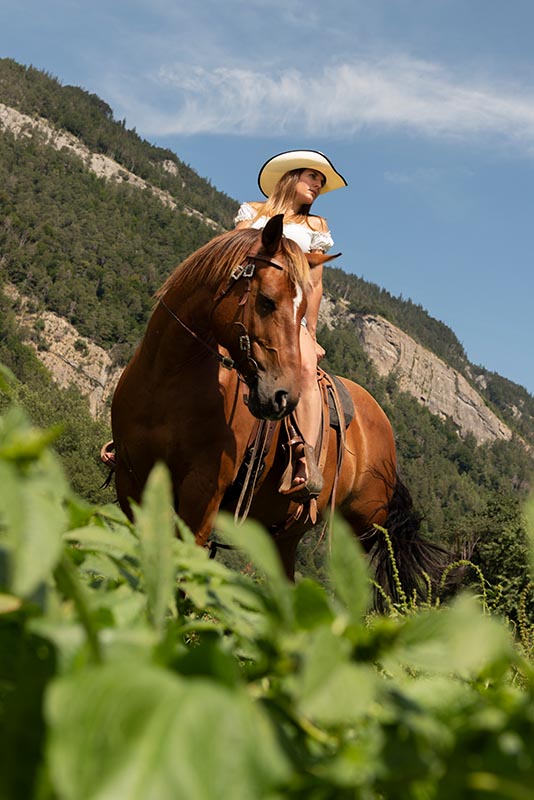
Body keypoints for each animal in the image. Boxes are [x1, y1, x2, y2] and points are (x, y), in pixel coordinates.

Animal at [111, 216, 446, 604]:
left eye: (302, 311)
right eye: (267, 302)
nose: (283, 396)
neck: (167, 380)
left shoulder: (203, 490)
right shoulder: (130, 479)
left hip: (360, 533)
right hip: (286, 532)